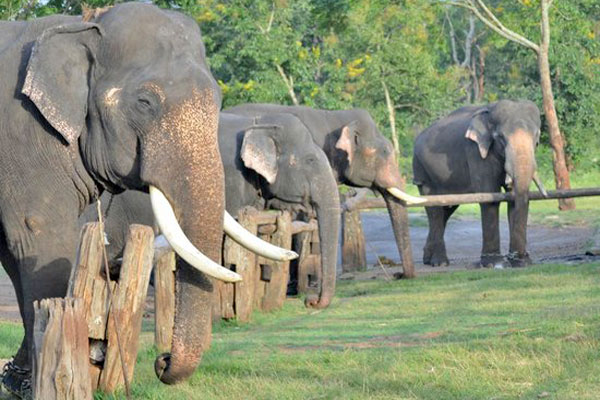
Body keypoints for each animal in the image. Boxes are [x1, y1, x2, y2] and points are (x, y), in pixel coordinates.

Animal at [0, 3, 288, 396]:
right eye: (145, 103)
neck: (82, 26)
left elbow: (15, 255)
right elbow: (42, 242)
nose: (162, 361)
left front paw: (18, 380)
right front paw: (35, 386)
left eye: (217, 101)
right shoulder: (25, 144)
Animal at [412, 100, 548, 268]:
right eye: (501, 137)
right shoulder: (475, 151)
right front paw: (493, 263)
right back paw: (440, 263)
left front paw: (521, 262)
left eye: (536, 138)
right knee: (434, 208)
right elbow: (489, 195)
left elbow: (513, 199)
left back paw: (428, 259)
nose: (519, 257)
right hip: (422, 170)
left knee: (446, 209)